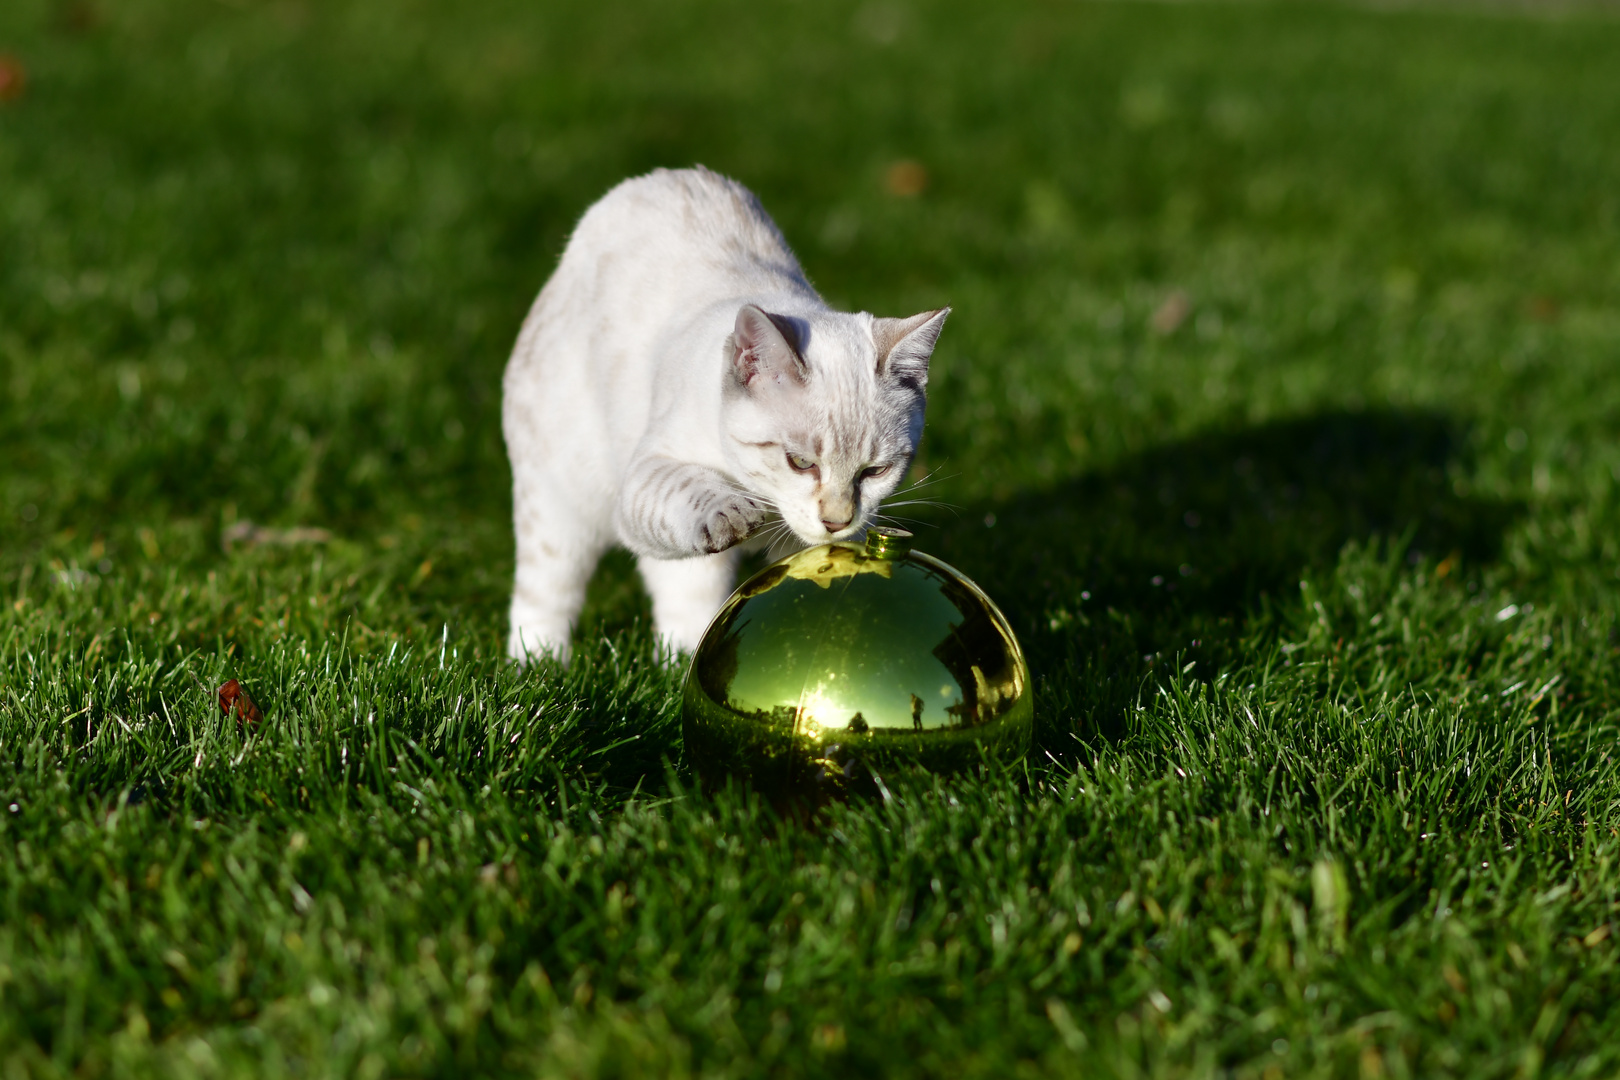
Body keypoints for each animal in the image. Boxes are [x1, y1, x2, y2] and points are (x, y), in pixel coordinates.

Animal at [498, 165, 946, 663]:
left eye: (875, 471)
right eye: (800, 463)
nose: (836, 521)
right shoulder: (645, 478)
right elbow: (693, 489)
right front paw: (731, 514)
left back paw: (676, 664)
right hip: (560, 504)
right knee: (544, 595)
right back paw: (539, 665)